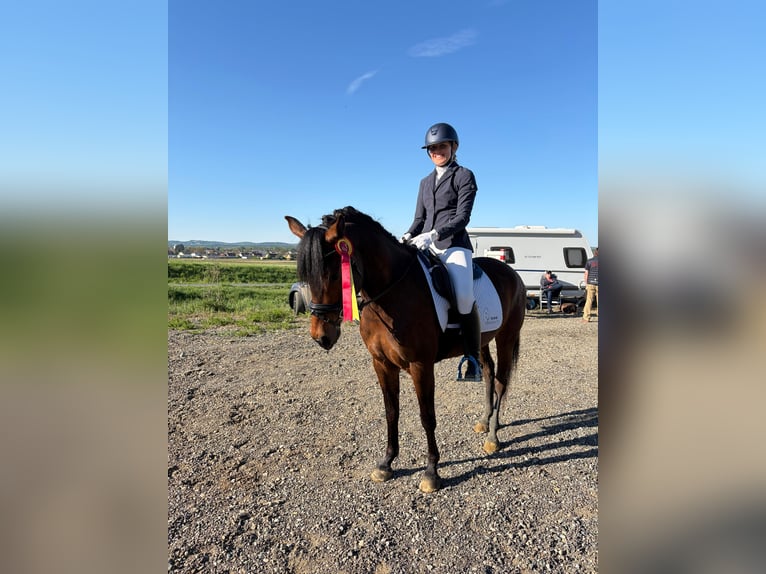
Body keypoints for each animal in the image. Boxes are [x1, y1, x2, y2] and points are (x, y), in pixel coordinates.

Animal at [285, 206, 525, 493]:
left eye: (334, 275)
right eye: (305, 276)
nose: (321, 336)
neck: (391, 292)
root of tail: (511, 273)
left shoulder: (421, 365)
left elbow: (427, 416)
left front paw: (431, 472)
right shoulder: (381, 363)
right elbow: (391, 412)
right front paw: (386, 463)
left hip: (506, 337)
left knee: (500, 381)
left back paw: (493, 436)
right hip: (482, 340)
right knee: (489, 373)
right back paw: (486, 421)